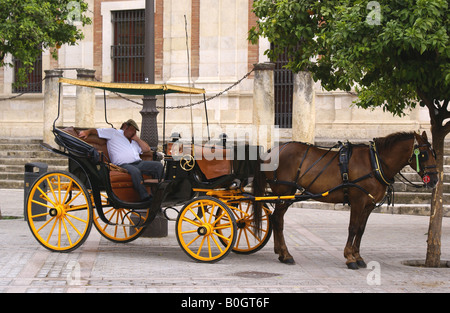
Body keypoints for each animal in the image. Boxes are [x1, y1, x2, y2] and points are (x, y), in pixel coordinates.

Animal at [253, 130, 440, 270]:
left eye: (434, 153)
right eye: (424, 154)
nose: (434, 179)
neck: (375, 163)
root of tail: (273, 151)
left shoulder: (369, 205)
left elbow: (361, 230)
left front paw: (358, 256)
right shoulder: (358, 202)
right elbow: (353, 228)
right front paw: (350, 258)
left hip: (287, 194)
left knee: (276, 219)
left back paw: (281, 253)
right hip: (283, 192)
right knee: (278, 220)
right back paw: (285, 254)